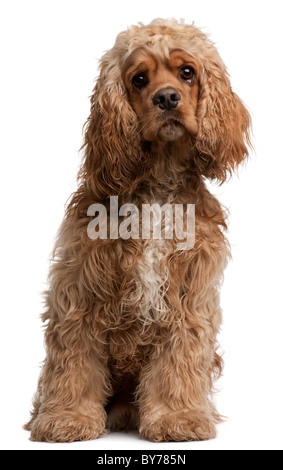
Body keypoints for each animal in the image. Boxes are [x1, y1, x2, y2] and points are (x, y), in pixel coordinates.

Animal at [25, 18, 252, 442]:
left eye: (187, 72)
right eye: (139, 79)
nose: (167, 98)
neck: (158, 186)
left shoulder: (188, 297)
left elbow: (178, 362)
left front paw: (178, 417)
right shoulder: (79, 290)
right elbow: (74, 362)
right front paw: (68, 418)